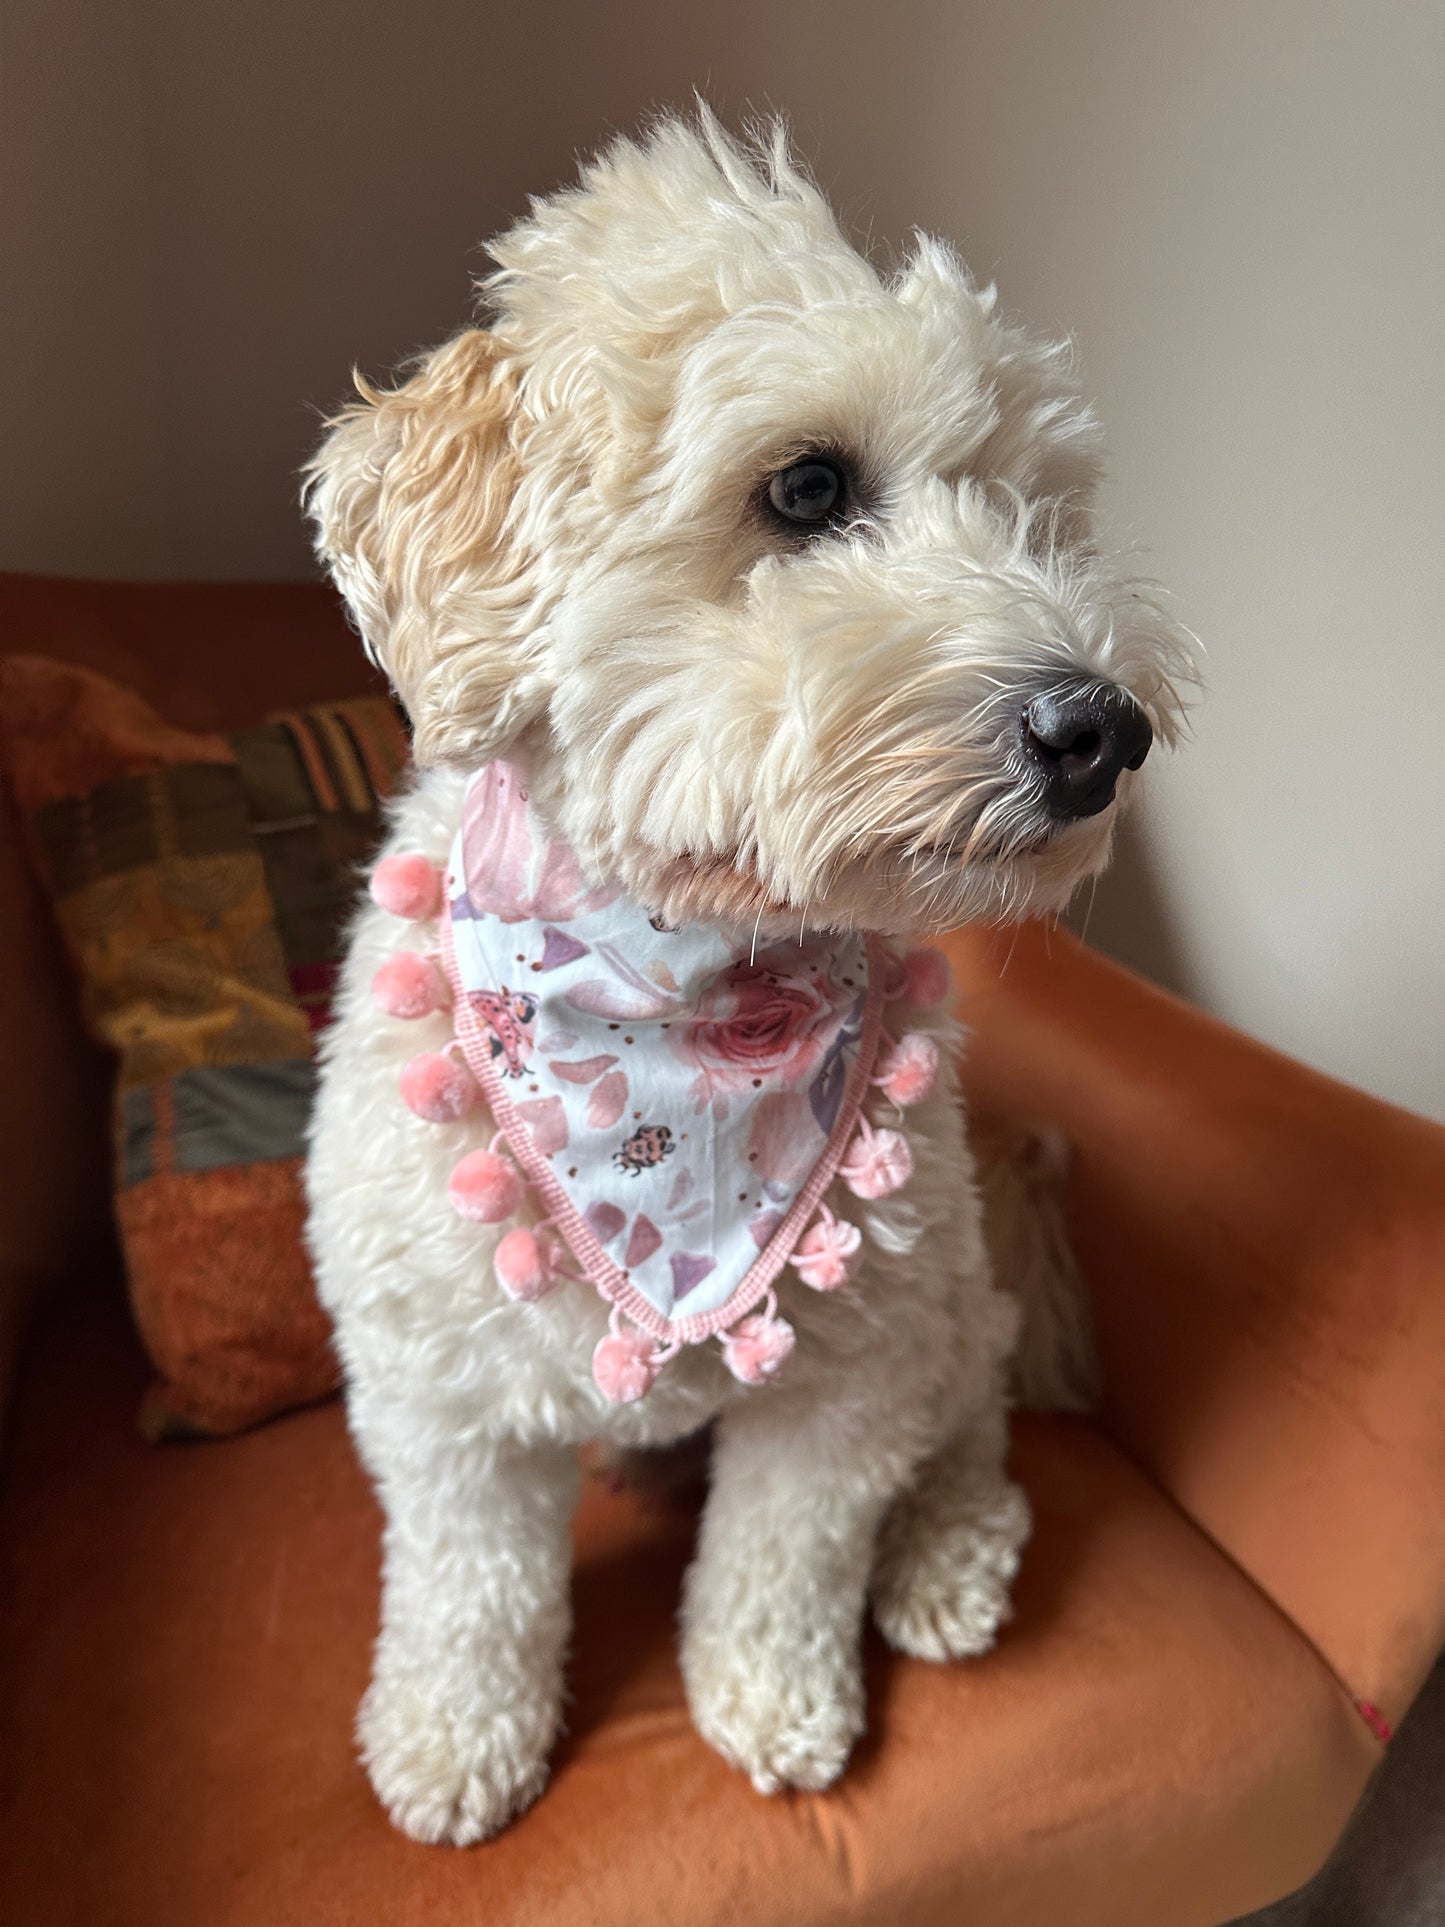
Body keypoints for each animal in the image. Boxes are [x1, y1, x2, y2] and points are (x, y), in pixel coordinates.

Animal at [302, 109, 1186, 1849]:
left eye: (1038, 513)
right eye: (807, 485)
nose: (1102, 729)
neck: (679, 990)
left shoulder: (845, 1386)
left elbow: (782, 1559)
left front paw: (771, 1703)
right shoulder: (436, 1397)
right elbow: (467, 1584)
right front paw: (454, 1735)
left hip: (950, 1291)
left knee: (975, 1418)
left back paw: (945, 1552)